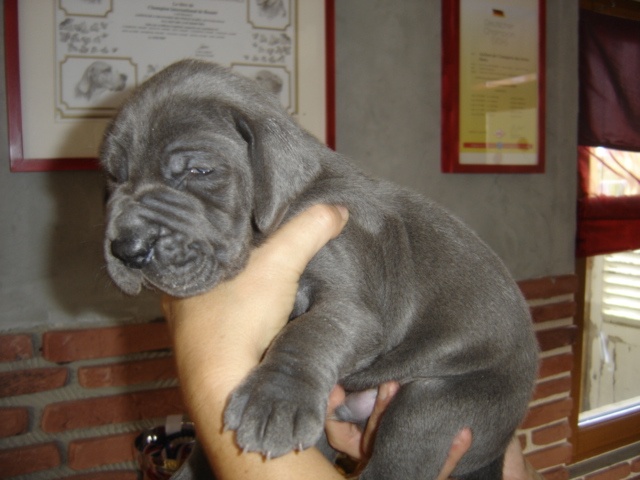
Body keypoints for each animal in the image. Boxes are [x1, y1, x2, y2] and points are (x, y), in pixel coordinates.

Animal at [101, 59, 539, 480]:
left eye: (199, 171)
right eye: (113, 176)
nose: (127, 249)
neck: (293, 200)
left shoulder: (351, 303)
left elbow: (309, 332)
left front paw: (275, 401)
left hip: (437, 403)